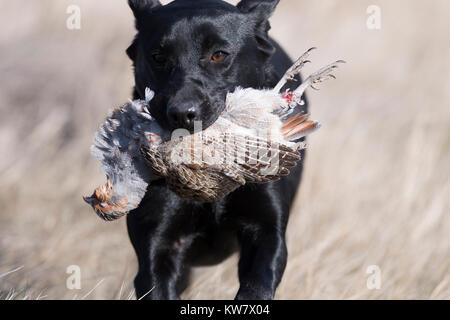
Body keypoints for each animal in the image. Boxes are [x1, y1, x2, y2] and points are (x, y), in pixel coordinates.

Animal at [125, 0, 308, 300]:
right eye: (158, 57)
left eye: (219, 55)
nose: (182, 113)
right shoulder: (159, 243)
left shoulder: (266, 230)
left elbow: (257, 285)